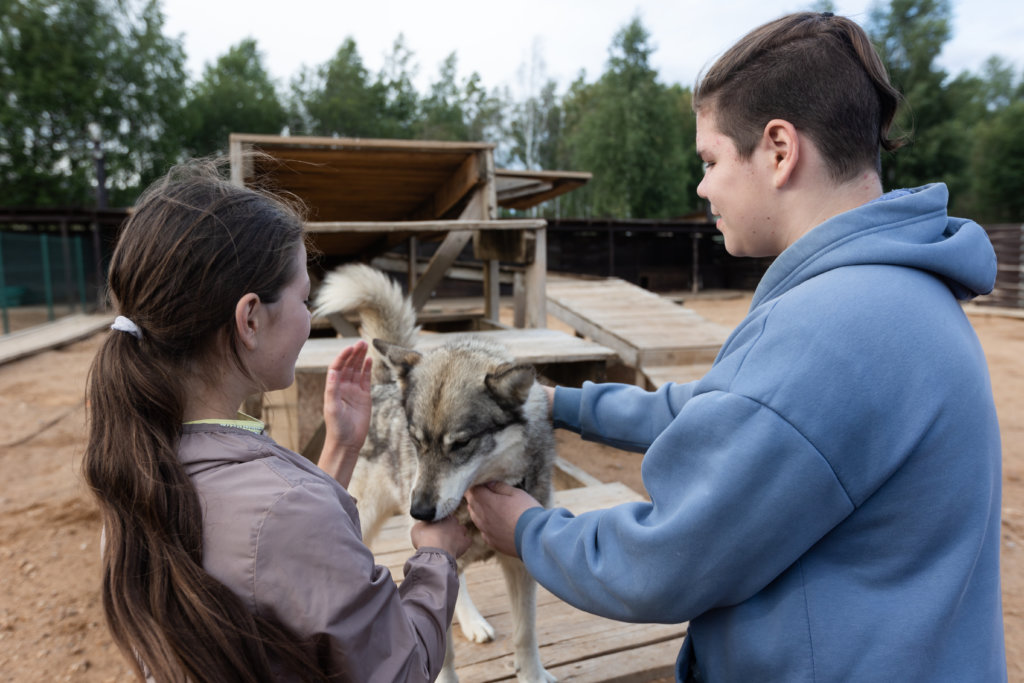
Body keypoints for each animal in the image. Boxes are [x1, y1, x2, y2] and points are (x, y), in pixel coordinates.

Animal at [313, 264, 557, 683]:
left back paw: (473, 621)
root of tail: (383, 384)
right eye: (416, 441)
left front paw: (532, 675)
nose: (420, 512)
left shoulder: (519, 563)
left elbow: (526, 635)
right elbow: (441, 651)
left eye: (461, 444)